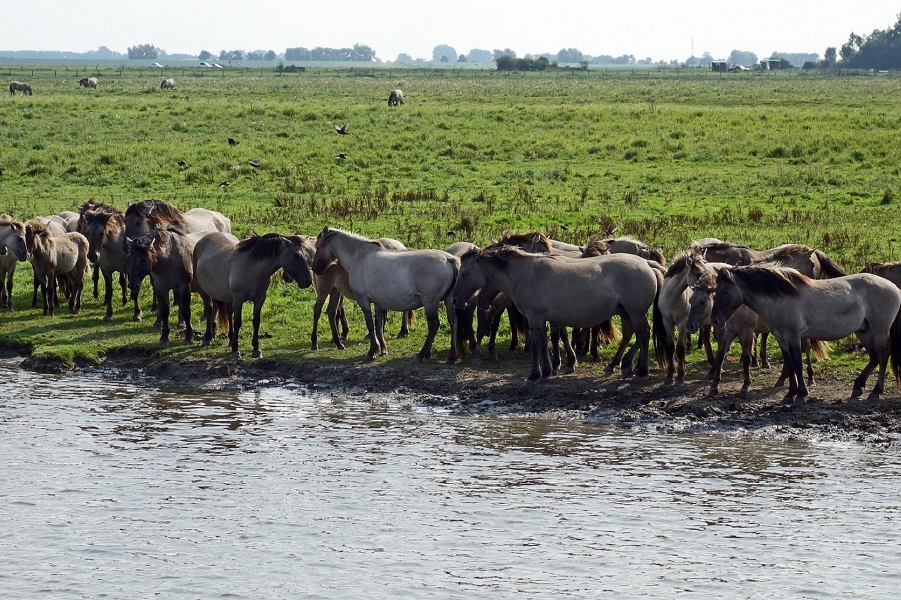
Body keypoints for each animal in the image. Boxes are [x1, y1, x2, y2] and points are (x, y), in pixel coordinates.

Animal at [311, 227, 460, 363]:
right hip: (448, 300)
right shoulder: (378, 302)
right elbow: (378, 324)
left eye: (318, 246)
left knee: (434, 325)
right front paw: (382, 349)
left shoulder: (363, 300)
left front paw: (372, 351)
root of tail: (448, 258)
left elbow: (371, 325)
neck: (358, 256)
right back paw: (451, 355)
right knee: (453, 321)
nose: (314, 268)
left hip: (430, 302)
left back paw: (422, 354)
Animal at [450, 247, 660, 382]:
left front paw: (534, 375)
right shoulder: (543, 319)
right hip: (626, 313)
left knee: (643, 334)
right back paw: (622, 364)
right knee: (632, 334)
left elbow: (536, 346)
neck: (525, 274)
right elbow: (545, 343)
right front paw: (548, 370)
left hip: (635, 312)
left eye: (465, 273)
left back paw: (641, 371)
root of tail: (647, 264)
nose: (455, 300)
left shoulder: (534, 318)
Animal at [710, 265, 901, 403]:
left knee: (883, 357)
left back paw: (876, 392)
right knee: (874, 357)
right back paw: (858, 387)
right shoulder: (781, 338)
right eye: (714, 291)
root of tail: (894, 287)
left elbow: (797, 364)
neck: (780, 298)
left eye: (724, 291)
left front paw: (801, 394)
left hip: (879, 330)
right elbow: (789, 363)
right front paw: (790, 394)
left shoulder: (794, 336)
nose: (715, 320)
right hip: (864, 331)